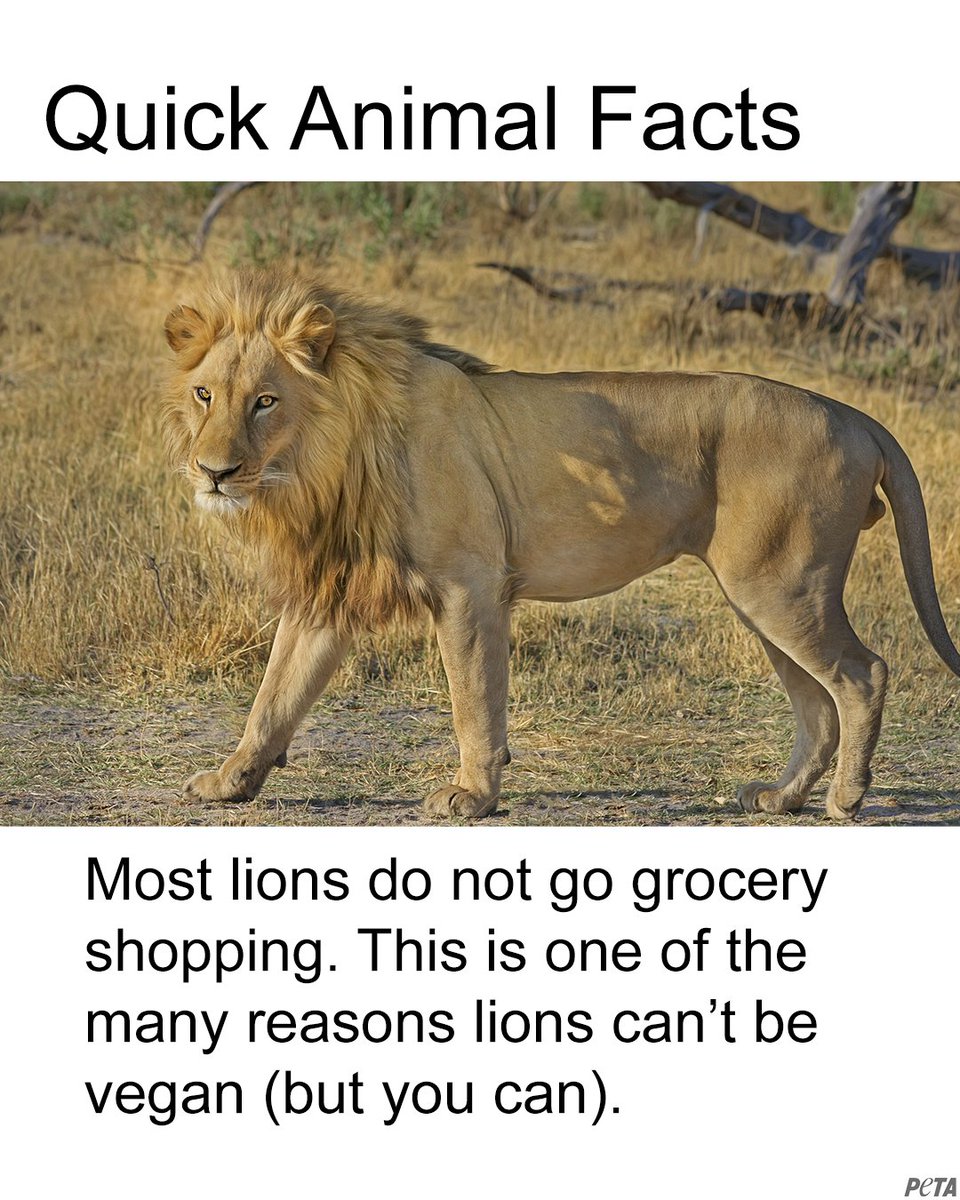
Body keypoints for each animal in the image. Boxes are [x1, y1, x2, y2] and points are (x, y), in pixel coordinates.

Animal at [162, 270, 960, 821]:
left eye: (266, 400)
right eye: (205, 395)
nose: (213, 471)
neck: (324, 462)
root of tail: (852, 413)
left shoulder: (469, 584)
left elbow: (473, 700)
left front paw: (471, 796)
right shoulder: (330, 592)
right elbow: (274, 697)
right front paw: (229, 783)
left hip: (780, 586)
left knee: (862, 674)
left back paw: (847, 800)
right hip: (762, 594)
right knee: (817, 704)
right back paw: (782, 798)